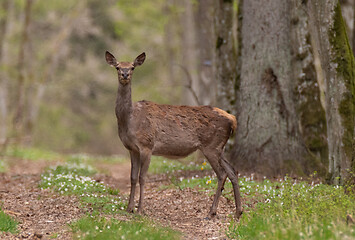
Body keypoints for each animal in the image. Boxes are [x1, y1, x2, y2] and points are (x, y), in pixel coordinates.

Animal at [105, 50, 243, 219]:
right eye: (117, 67)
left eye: (132, 67)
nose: (125, 74)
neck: (128, 120)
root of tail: (232, 119)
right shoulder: (132, 149)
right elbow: (132, 177)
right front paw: (129, 208)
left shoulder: (147, 145)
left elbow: (142, 178)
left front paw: (140, 209)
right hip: (219, 147)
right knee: (232, 171)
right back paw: (238, 211)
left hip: (211, 146)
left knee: (222, 174)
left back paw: (212, 212)